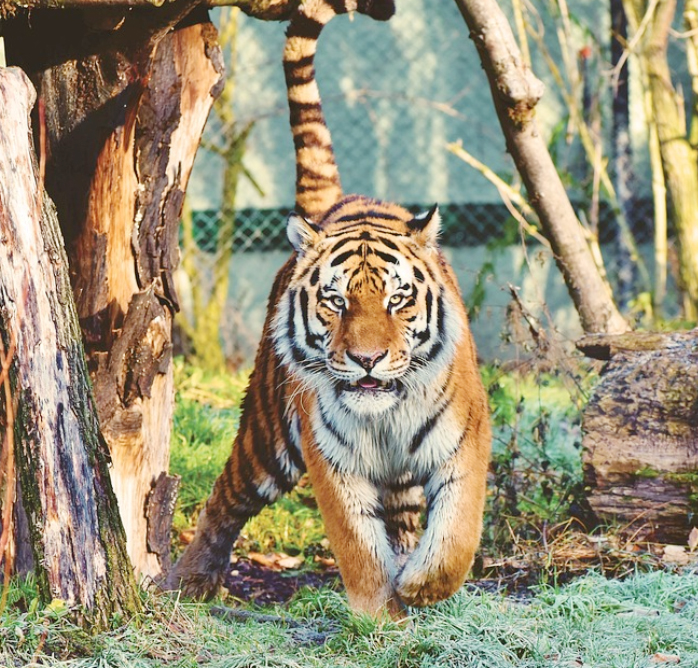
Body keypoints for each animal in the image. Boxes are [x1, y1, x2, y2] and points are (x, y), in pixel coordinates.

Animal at [166, 0, 490, 620]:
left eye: (397, 298)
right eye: (336, 301)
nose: (367, 360)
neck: (386, 416)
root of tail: (338, 201)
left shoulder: (464, 445)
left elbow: (456, 536)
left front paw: (420, 586)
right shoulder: (332, 462)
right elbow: (357, 547)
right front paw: (378, 612)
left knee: (405, 519)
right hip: (267, 436)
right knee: (224, 498)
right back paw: (187, 581)